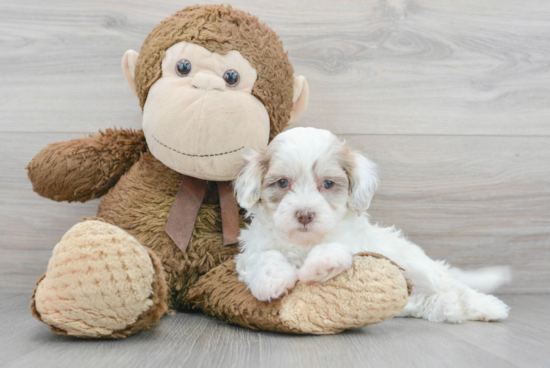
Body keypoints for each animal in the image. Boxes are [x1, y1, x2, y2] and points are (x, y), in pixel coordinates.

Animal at [234, 126, 512, 322]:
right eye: (282, 183)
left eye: (328, 184)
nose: (304, 214)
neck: (304, 243)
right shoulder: (252, 250)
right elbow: (264, 256)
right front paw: (272, 279)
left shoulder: (361, 249)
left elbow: (336, 249)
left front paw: (321, 264)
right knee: (427, 302)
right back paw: (449, 307)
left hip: (419, 265)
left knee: (453, 285)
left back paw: (485, 306)